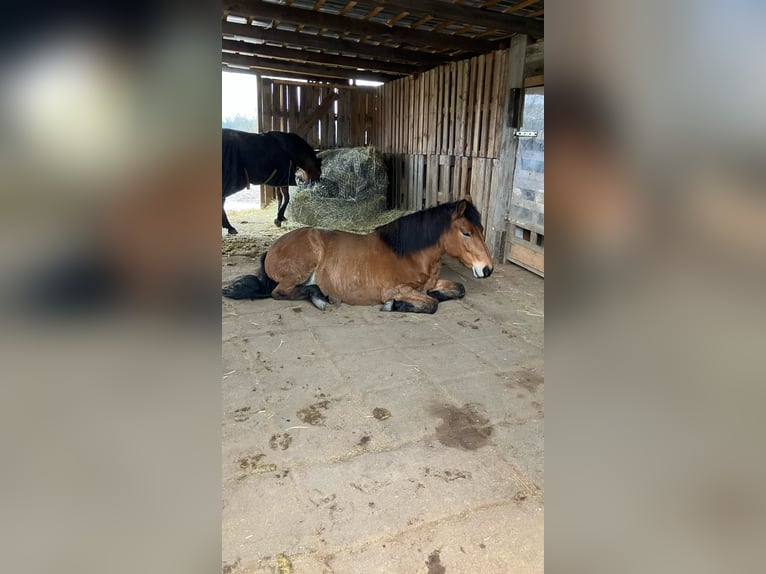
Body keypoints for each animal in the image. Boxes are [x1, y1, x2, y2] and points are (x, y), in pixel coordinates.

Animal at [222, 196, 494, 314]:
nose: (487, 269)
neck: (410, 254)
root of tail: (272, 248)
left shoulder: (431, 282)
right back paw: (321, 298)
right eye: (466, 232)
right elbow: (431, 304)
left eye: (481, 229)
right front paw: (395, 305)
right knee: (279, 293)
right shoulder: (394, 289)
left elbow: (457, 289)